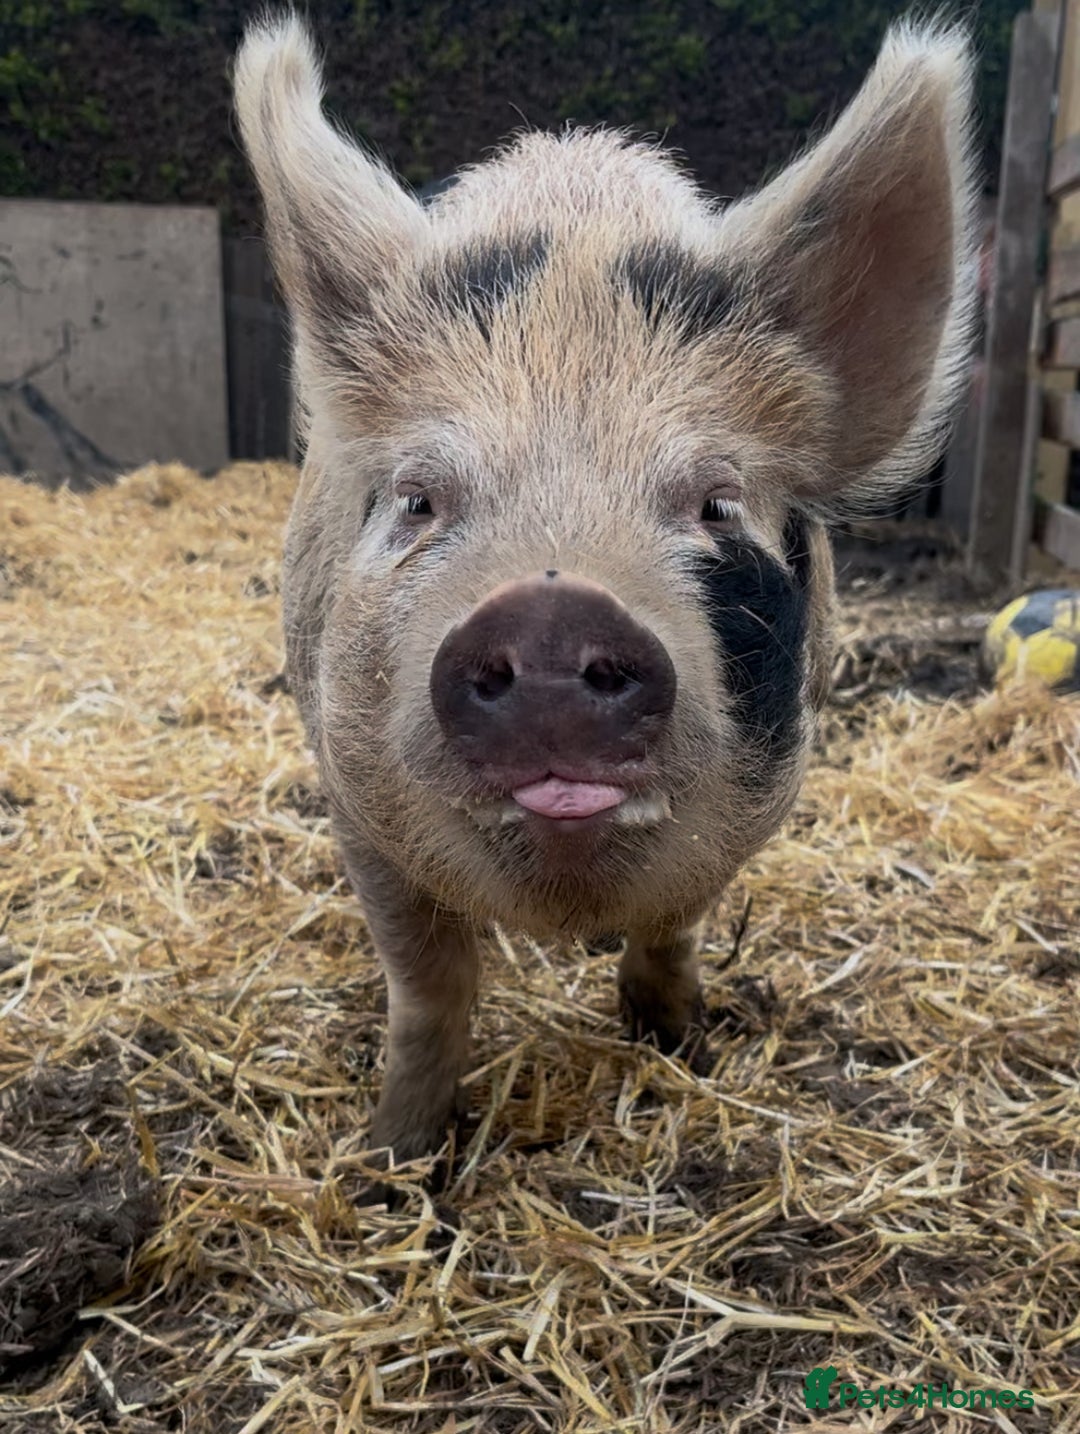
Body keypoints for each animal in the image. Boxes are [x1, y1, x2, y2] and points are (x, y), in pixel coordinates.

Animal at [234, 14, 976, 1162]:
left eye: (717, 503)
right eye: (419, 499)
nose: (549, 610)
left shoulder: (756, 810)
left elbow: (673, 931)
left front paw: (681, 1048)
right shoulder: (353, 802)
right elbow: (429, 987)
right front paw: (390, 1159)